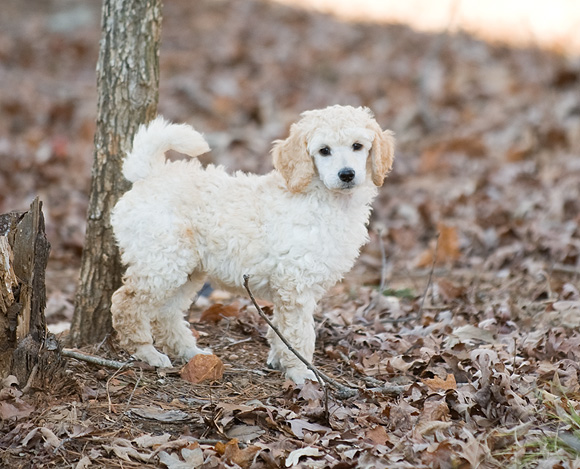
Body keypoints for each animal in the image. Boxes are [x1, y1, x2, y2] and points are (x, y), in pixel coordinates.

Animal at [111, 104, 396, 382]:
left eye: (357, 146)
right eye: (324, 151)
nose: (347, 174)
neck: (325, 199)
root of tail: (150, 174)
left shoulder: (289, 287)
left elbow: (282, 330)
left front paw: (280, 362)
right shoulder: (296, 284)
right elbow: (299, 333)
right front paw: (301, 372)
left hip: (186, 269)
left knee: (166, 313)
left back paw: (190, 352)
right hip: (161, 261)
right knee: (128, 303)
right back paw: (147, 352)